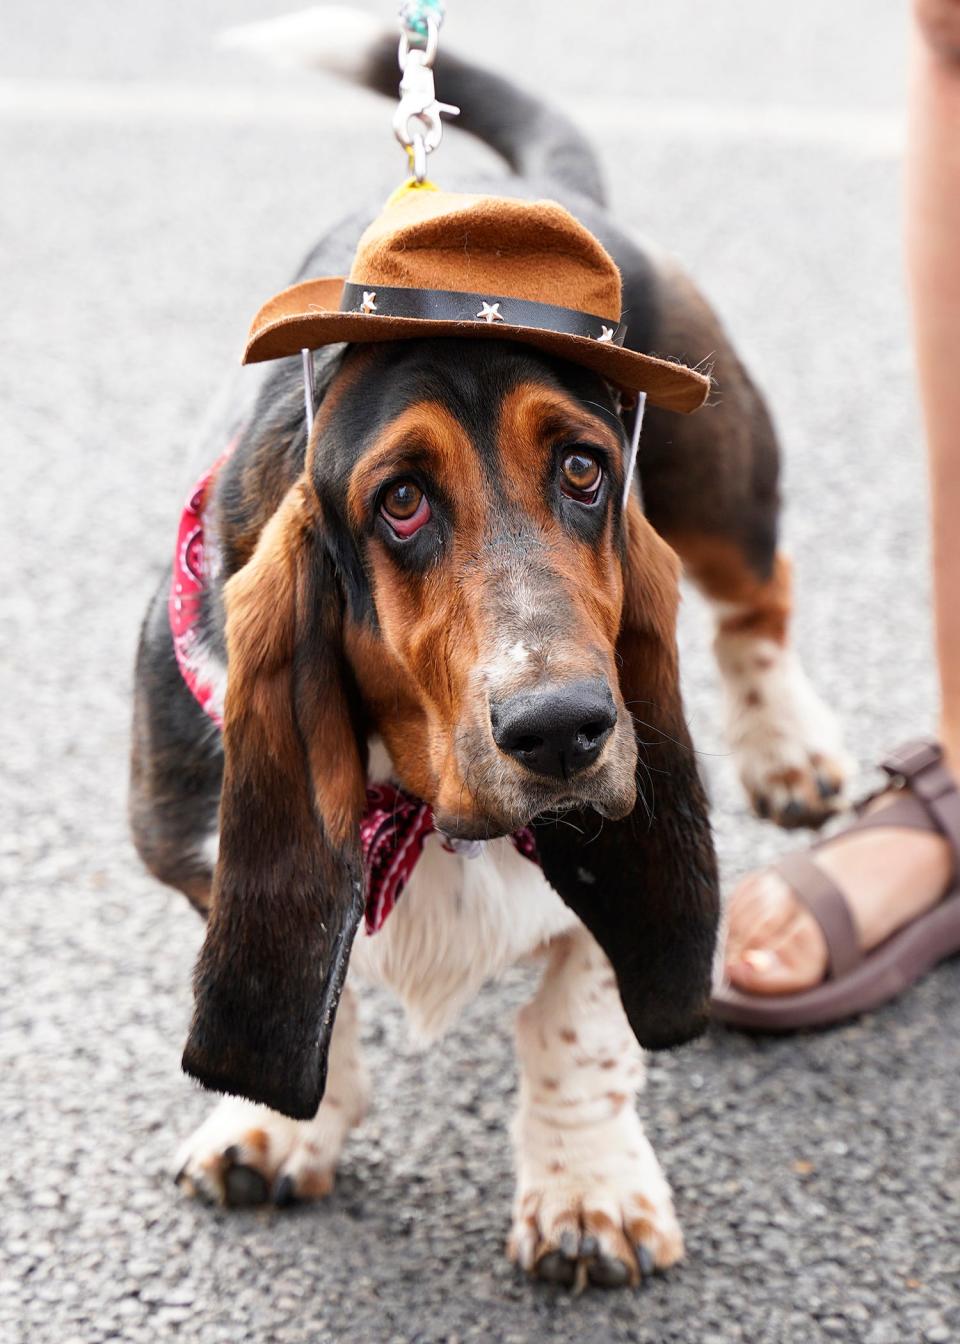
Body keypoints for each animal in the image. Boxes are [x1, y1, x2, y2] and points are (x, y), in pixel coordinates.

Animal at [129, 7, 844, 1290]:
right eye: (401, 502)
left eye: (585, 471)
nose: (563, 730)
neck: (422, 804)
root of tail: (551, 196)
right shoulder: (194, 843)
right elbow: (322, 993)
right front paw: (272, 1131)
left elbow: (576, 1019)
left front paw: (588, 1197)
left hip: (721, 482)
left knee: (760, 594)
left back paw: (791, 752)